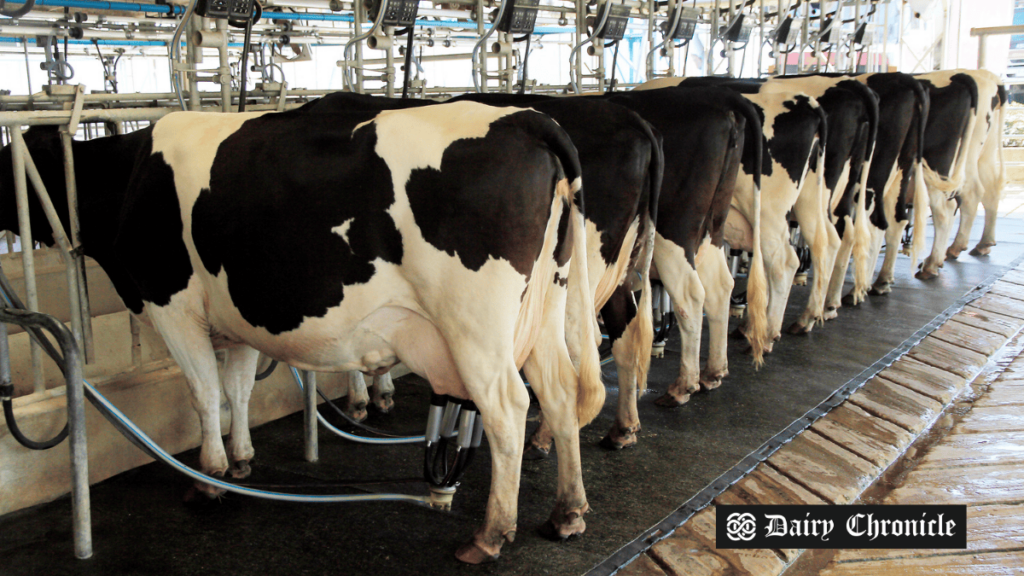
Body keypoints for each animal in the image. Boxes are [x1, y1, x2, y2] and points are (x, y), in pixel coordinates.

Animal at [0, 99, 602, 561]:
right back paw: (568, 511)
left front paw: (208, 478)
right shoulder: (237, 318)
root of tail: (523, 120)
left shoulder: (169, 303)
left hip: (476, 326)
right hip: (545, 306)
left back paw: (491, 534)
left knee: (508, 409)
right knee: (558, 392)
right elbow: (238, 388)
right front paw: (242, 458)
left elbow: (203, 392)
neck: (129, 177)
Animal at [299, 90, 663, 448]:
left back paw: (546, 434)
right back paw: (623, 428)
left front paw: (362, 399)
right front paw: (380, 392)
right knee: (625, 334)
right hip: (616, 266)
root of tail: (635, 120)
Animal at [634, 76, 827, 354]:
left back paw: (765, 337)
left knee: (782, 262)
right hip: (810, 196)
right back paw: (805, 317)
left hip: (755, 215)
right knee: (826, 241)